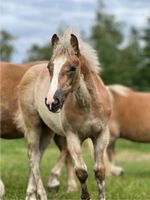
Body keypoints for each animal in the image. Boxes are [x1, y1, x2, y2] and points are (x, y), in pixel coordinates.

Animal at [17, 28, 111, 200]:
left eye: (73, 67)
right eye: (50, 67)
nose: (51, 102)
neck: (88, 105)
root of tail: (29, 71)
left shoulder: (102, 134)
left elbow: (99, 172)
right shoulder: (72, 136)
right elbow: (81, 171)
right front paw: (84, 196)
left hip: (47, 130)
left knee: (38, 156)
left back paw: (30, 194)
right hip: (33, 125)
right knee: (33, 156)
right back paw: (41, 194)